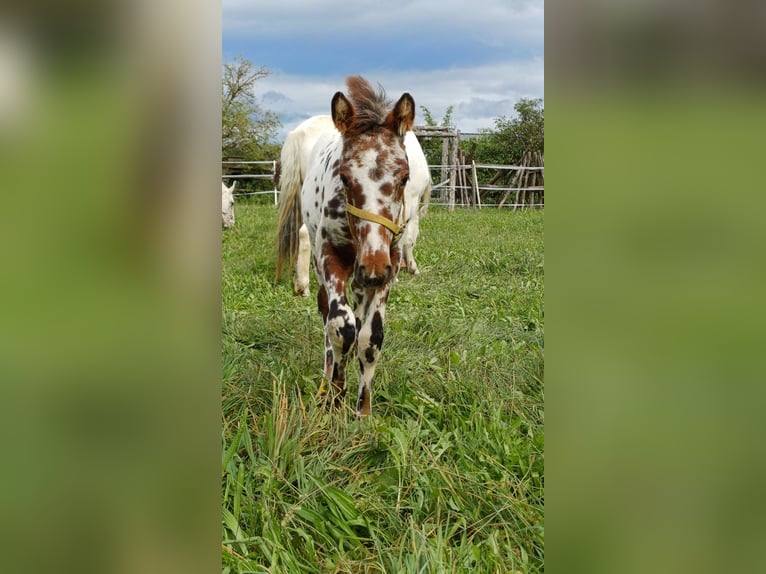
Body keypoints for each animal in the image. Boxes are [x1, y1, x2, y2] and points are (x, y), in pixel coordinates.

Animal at [276, 76, 416, 418]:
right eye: (344, 176)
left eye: (404, 177)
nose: (374, 267)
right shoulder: (332, 257)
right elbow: (341, 327)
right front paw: (334, 398)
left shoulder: (389, 264)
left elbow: (370, 337)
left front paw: (362, 411)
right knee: (328, 316)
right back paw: (328, 379)